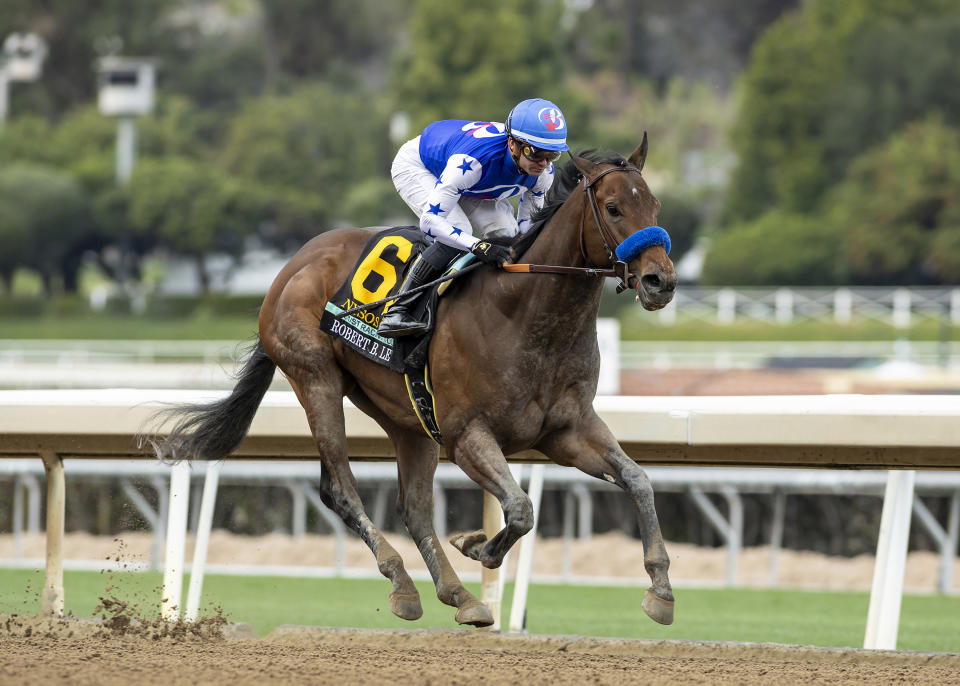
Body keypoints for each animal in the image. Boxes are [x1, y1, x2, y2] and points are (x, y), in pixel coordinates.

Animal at [158, 138, 680, 628]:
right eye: (613, 208)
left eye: (655, 205)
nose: (661, 282)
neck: (526, 313)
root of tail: (292, 265)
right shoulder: (467, 436)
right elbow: (519, 508)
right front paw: (478, 547)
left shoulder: (566, 431)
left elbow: (638, 480)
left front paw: (660, 588)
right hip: (315, 378)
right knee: (340, 489)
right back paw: (403, 583)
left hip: (406, 416)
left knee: (414, 507)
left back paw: (460, 596)